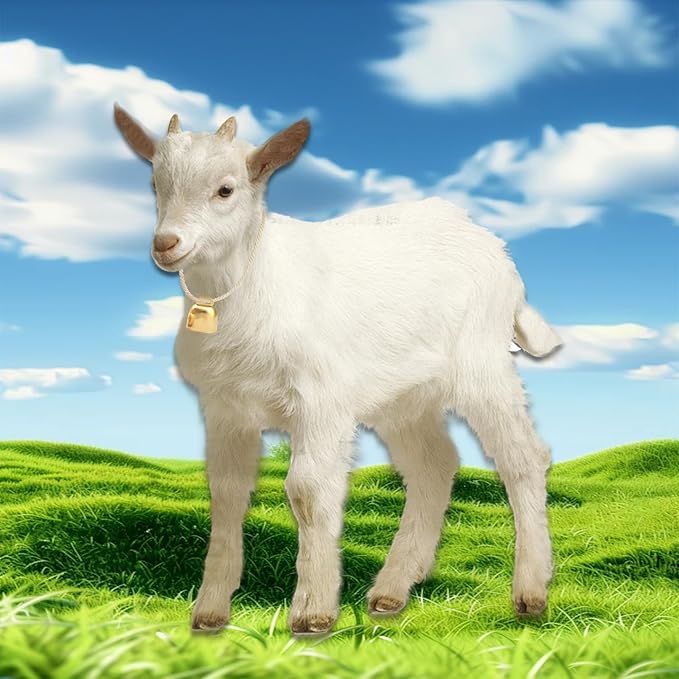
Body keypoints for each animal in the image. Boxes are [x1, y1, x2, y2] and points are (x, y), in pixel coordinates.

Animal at [113, 104, 562, 636]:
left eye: (225, 190)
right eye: (155, 184)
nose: (166, 243)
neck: (253, 287)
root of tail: (493, 247)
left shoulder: (320, 401)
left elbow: (307, 489)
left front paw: (313, 611)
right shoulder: (225, 408)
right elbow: (225, 493)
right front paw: (210, 610)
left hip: (481, 364)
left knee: (523, 457)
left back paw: (530, 590)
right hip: (403, 394)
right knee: (433, 464)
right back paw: (392, 589)